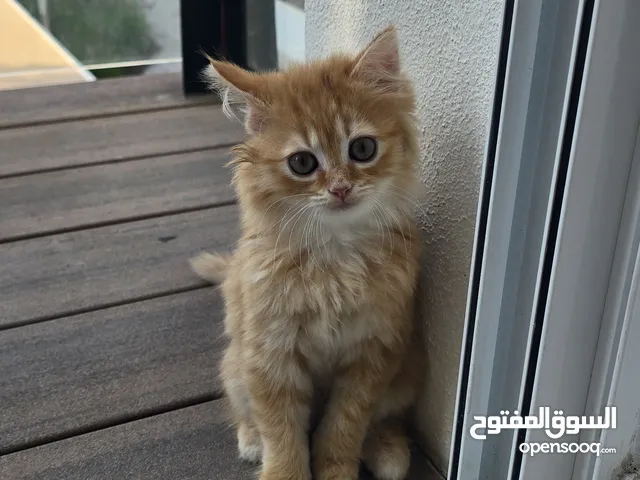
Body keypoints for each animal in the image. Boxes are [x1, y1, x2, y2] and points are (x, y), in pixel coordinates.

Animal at [192, 26, 428, 480]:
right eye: (302, 163)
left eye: (362, 149)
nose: (340, 188)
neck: (333, 258)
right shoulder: (269, 357)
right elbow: (282, 433)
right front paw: (282, 469)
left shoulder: (374, 354)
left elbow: (344, 427)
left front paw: (336, 468)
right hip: (234, 366)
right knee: (245, 412)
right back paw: (251, 440)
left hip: (405, 374)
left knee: (385, 419)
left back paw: (388, 451)